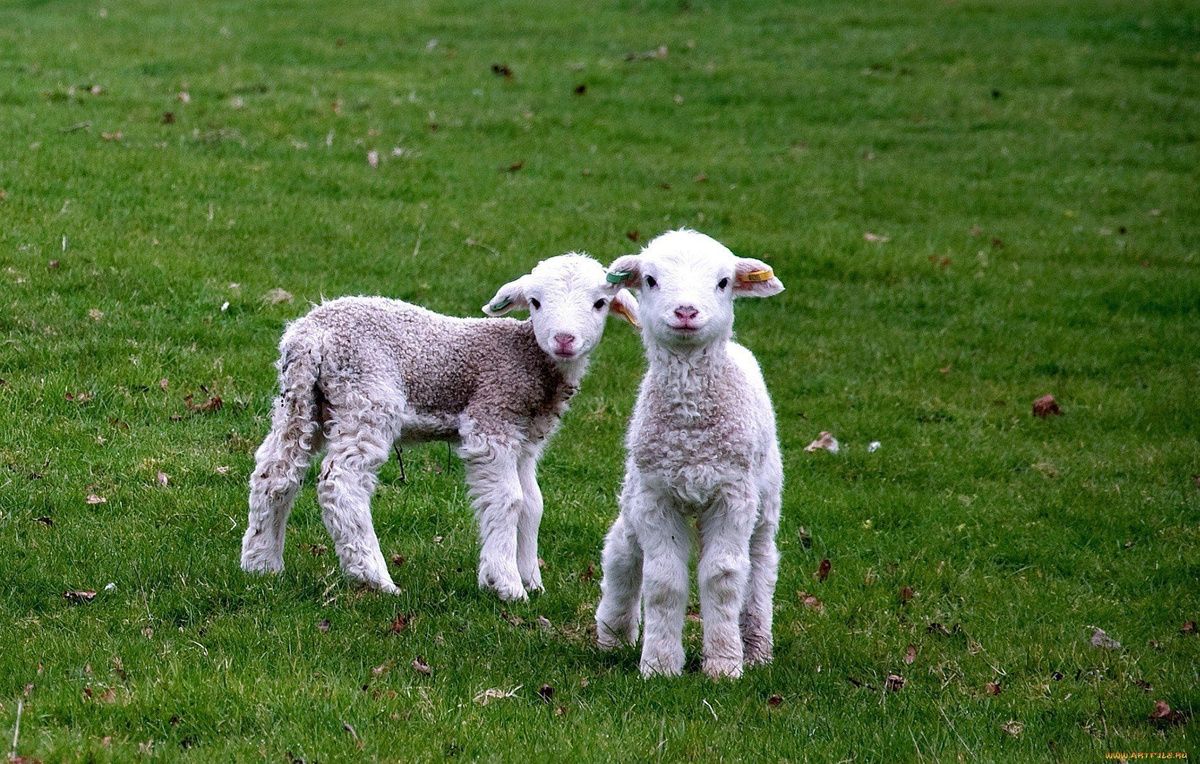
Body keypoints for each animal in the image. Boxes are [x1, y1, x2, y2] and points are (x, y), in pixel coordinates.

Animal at [237, 253, 643, 599]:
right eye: (535, 302)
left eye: (600, 303)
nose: (564, 340)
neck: (527, 357)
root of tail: (310, 335)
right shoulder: (491, 417)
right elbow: (508, 499)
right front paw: (506, 583)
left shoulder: (526, 437)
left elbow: (532, 504)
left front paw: (532, 579)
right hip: (367, 394)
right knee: (342, 482)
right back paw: (375, 577)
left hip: (304, 401)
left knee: (275, 472)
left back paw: (262, 564)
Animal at [592, 229, 787, 676]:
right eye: (650, 280)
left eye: (723, 282)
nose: (685, 311)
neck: (691, 430)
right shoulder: (655, 497)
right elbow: (664, 581)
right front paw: (660, 665)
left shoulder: (733, 495)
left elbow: (724, 577)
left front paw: (725, 664)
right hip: (635, 488)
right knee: (621, 549)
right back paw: (613, 633)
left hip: (766, 497)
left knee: (761, 563)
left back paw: (757, 646)